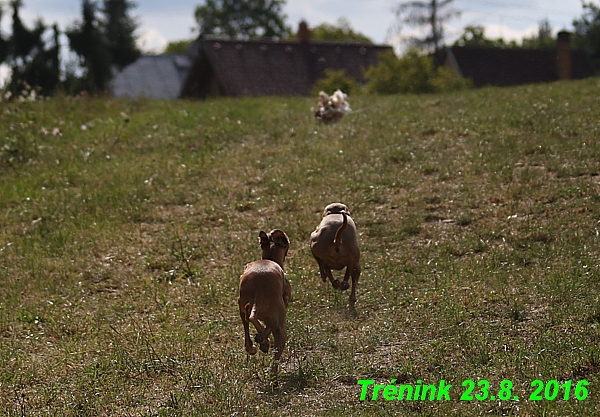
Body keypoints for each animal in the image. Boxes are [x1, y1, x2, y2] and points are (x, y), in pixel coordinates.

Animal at [237, 229, 290, 372]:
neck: (269, 259)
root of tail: (259, 290)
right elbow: (268, 328)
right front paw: (263, 340)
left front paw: (262, 340)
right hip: (281, 327)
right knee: (276, 356)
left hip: (241, 307)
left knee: (248, 328)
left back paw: (257, 345)